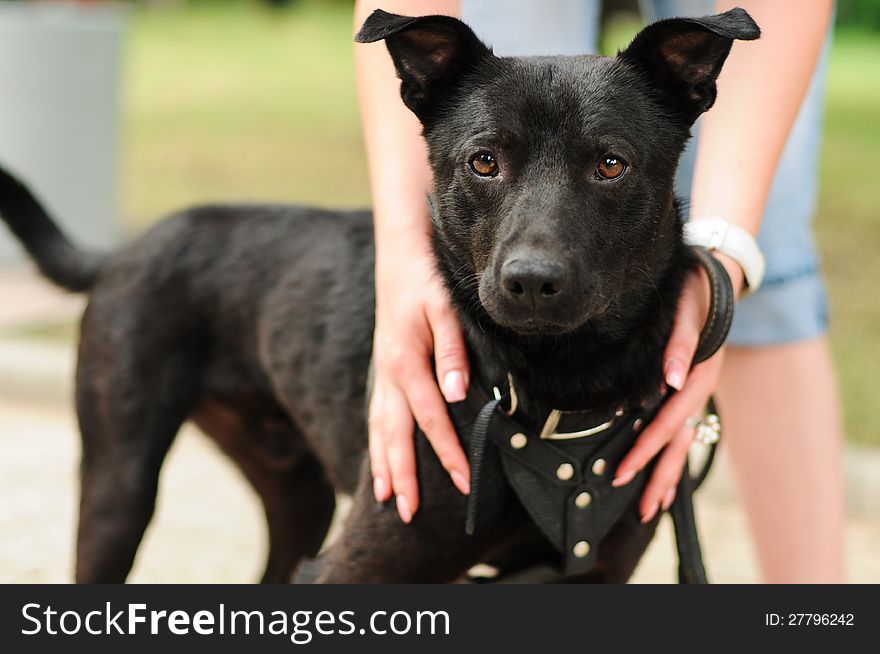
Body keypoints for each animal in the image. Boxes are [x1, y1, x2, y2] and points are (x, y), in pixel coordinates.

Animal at [0, 9, 756, 584]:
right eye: (484, 161)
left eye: (611, 164)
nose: (531, 281)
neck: (557, 390)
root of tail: (128, 246)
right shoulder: (358, 567)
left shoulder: (594, 574)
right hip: (118, 487)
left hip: (296, 495)